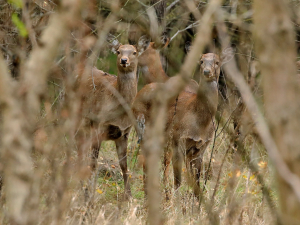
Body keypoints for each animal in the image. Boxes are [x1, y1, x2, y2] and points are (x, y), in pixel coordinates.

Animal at [77, 39, 143, 200]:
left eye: (134, 52)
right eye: (118, 51)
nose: (124, 60)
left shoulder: (124, 133)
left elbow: (124, 166)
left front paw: (129, 196)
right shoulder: (98, 126)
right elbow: (93, 163)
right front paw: (90, 193)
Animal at [132, 49, 233, 199]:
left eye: (217, 62)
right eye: (201, 61)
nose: (206, 71)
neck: (200, 122)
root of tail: (139, 93)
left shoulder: (201, 147)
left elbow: (196, 182)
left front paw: (196, 204)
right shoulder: (177, 140)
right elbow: (178, 180)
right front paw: (176, 203)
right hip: (143, 129)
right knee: (147, 163)